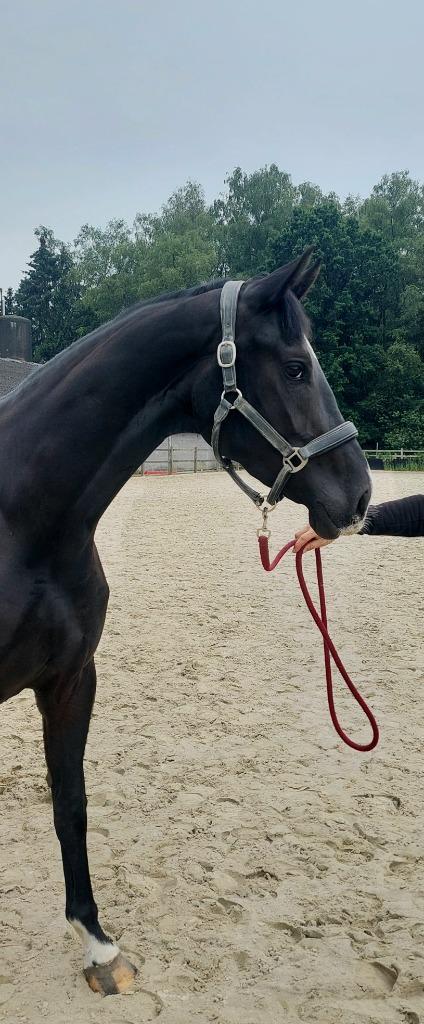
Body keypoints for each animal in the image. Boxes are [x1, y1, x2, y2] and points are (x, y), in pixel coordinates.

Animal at [0, 249, 371, 994]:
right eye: (295, 367)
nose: (361, 497)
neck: (22, 521)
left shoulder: (71, 681)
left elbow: (71, 805)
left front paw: (99, 947)